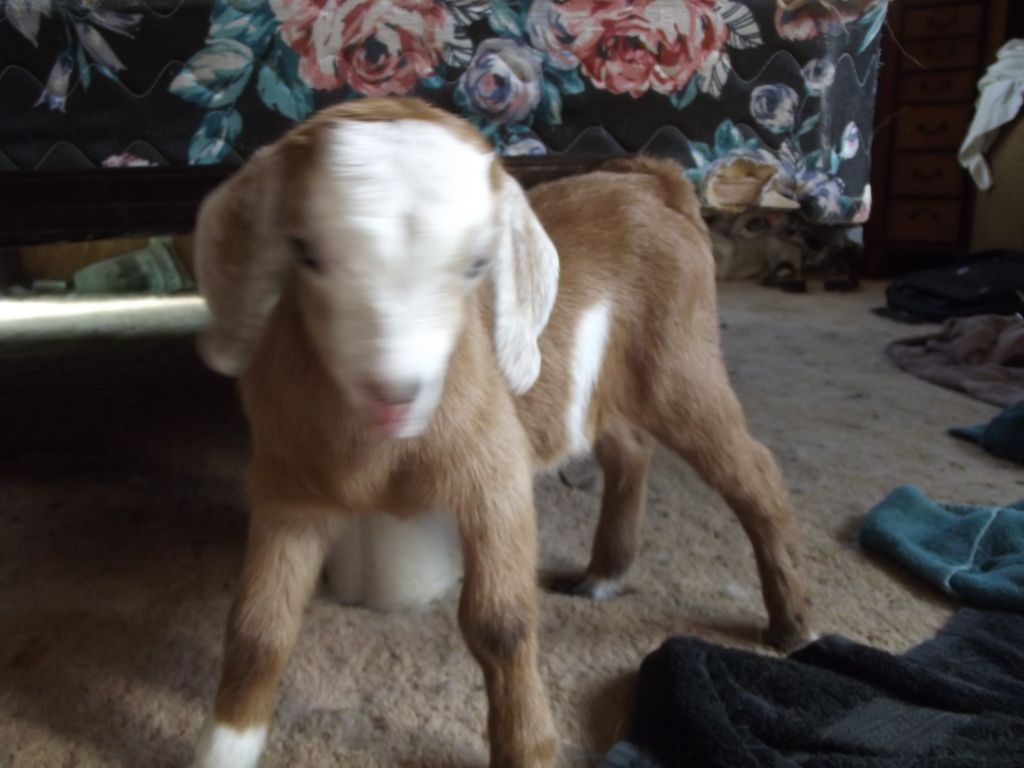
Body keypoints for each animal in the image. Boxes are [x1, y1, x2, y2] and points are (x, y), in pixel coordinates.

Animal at [192, 97, 813, 768]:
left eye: (477, 265)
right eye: (306, 252)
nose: (394, 397)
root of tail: (652, 181)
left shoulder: (495, 476)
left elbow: (500, 623)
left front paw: (528, 749)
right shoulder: (289, 489)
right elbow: (258, 627)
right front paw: (224, 748)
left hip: (681, 364)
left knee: (753, 472)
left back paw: (793, 624)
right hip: (601, 388)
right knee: (630, 452)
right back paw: (604, 574)